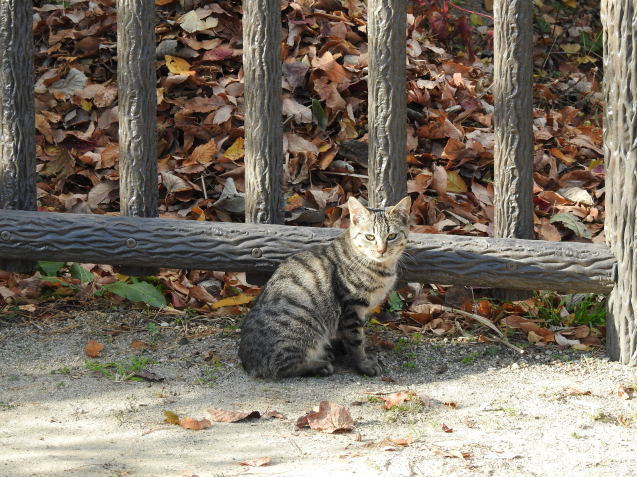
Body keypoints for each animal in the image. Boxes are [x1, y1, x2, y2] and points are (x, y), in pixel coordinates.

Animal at [238, 195, 412, 378]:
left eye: (392, 236)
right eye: (370, 237)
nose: (381, 250)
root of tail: (248, 363)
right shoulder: (352, 308)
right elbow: (356, 341)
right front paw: (364, 363)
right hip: (303, 325)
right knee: (282, 367)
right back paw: (321, 365)